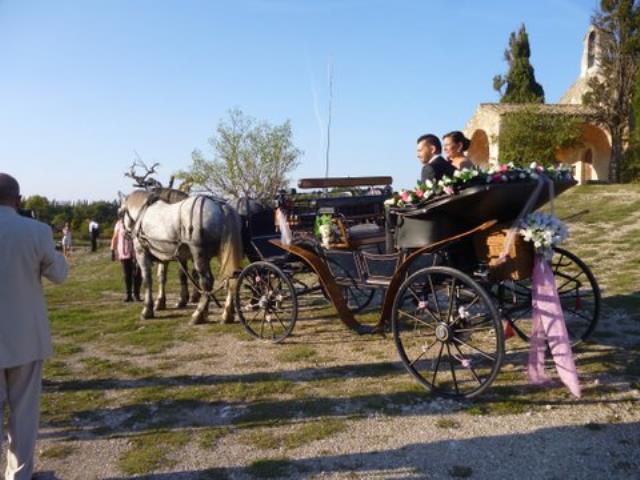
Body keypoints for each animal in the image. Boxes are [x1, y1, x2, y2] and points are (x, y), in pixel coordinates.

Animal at [119, 189, 242, 324]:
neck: (142, 214)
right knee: (230, 277)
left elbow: (147, 280)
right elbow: (161, 277)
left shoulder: (141, 253)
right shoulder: (163, 255)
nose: (124, 234)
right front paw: (160, 302)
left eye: (120, 213)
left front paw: (147, 310)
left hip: (199, 254)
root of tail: (220, 206)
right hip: (223, 254)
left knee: (207, 281)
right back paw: (227, 314)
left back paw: (198, 315)